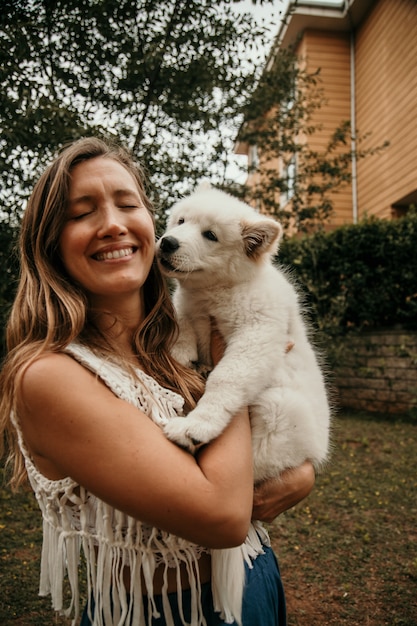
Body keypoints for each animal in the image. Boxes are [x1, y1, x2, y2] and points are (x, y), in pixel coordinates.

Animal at [154, 183, 330, 620]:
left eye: (210, 235)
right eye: (180, 221)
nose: (167, 243)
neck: (216, 294)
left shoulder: (256, 336)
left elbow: (224, 379)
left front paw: (196, 425)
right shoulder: (191, 306)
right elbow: (181, 320)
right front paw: (183, 349)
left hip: (278, 410)